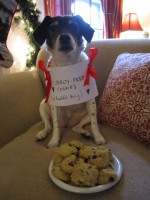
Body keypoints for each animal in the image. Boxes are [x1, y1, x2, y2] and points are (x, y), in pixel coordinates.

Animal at [33, 14, 105, 148]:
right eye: (53, 28)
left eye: (74, 27)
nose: (64, 37)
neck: (67, 65)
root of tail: (67, 123)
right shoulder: (55, 103)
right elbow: (55, 125)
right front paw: (54, 140)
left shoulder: (91, 100)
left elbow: (94, 123)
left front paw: (98, 137)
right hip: (43, 106)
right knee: (49, 125)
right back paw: (42, 134)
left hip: (89, 112)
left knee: (76, 127)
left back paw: (84, 133)